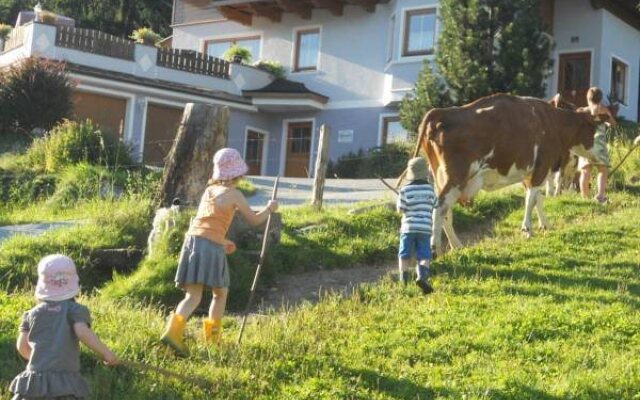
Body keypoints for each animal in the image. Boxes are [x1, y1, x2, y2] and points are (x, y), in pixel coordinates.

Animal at [420, 93, 600, 255]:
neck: (550, 120)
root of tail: (442, 112)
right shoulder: (541, 167)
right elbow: (531, 200)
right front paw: (528, 230)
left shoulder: (529, 173)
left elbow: (536, 199)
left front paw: (544, 225)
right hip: (456, 177)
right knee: (440, 207)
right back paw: (435, 248)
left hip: (441, 177)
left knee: (445, 212)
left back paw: (456, 245)